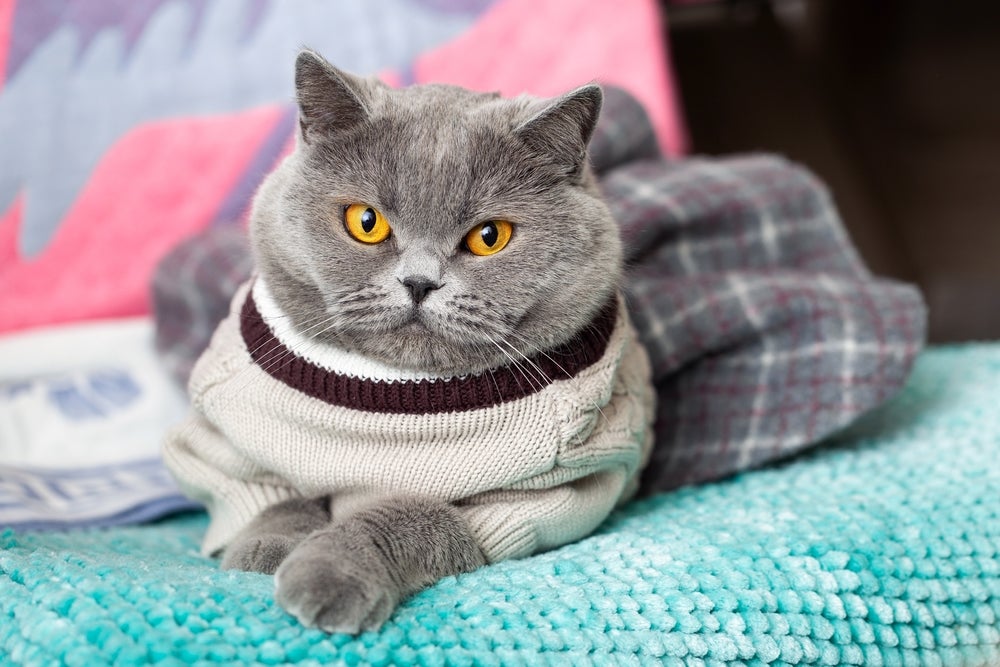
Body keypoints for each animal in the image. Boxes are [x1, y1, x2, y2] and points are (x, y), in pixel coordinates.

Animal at [164, 49, 656, 636]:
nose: (419, 282)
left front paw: (328, 573)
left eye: (489, 237)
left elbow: (408, 516)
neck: (396, 386)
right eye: (366, 222)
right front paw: (265, 549)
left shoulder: (534, 500)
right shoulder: (225, 440)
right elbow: (278, 498)